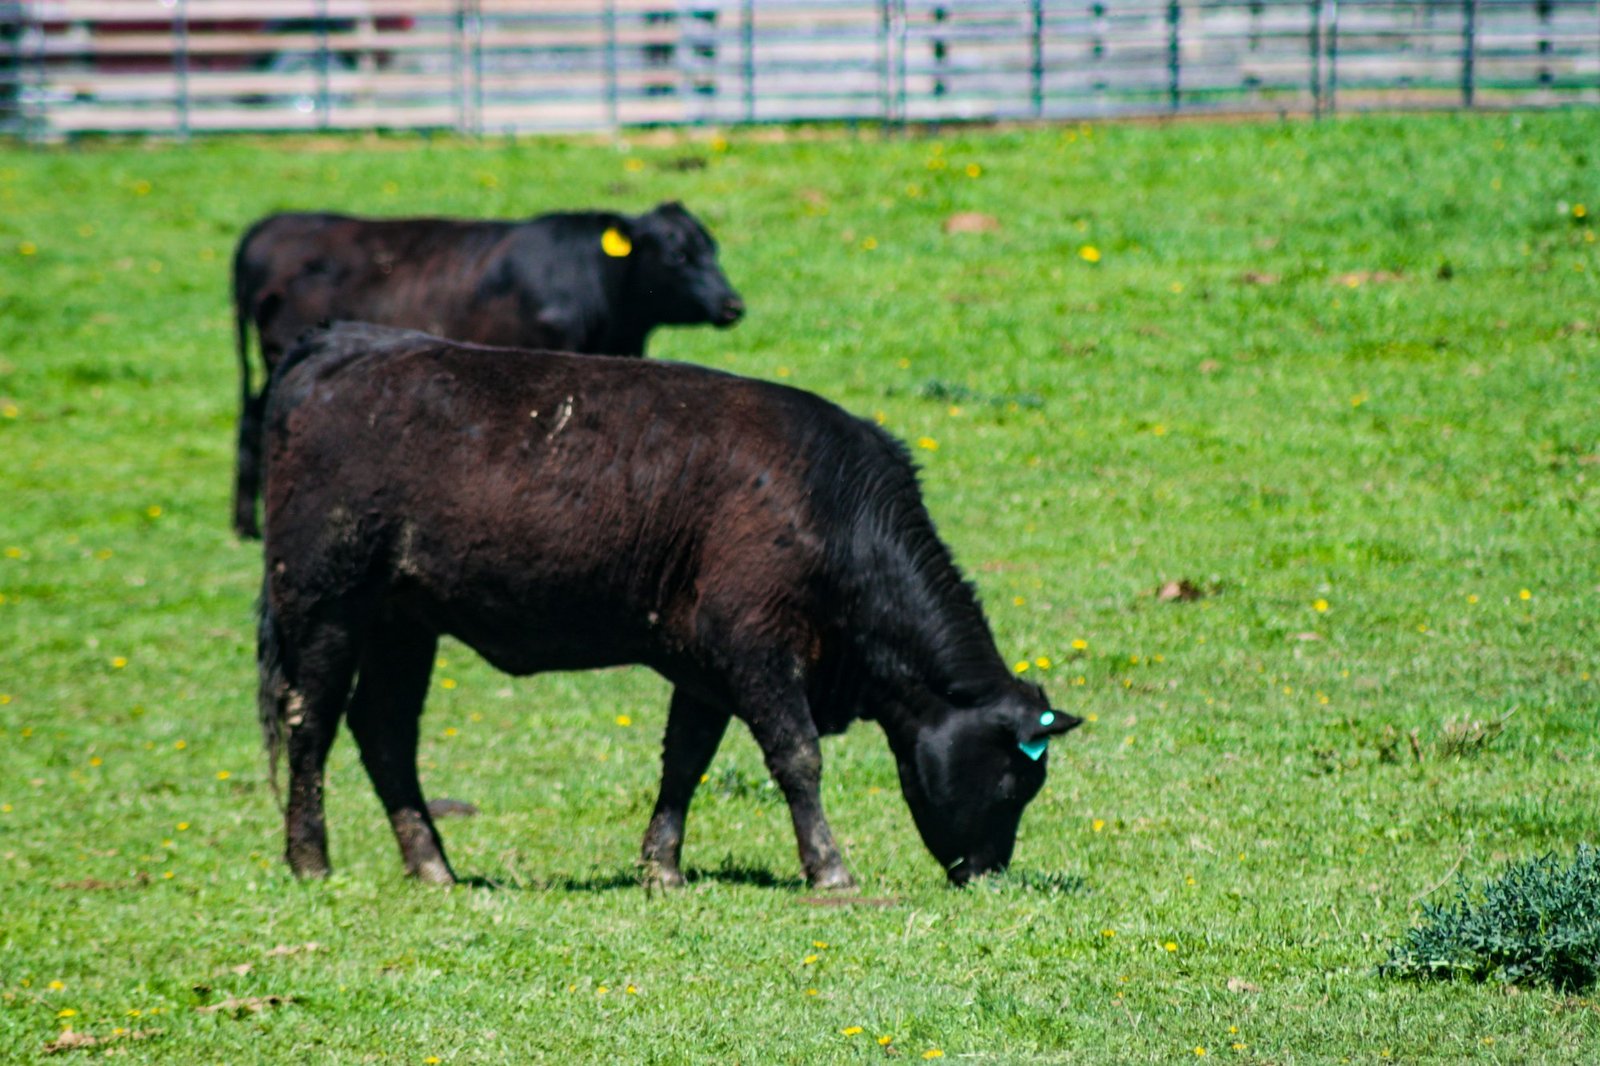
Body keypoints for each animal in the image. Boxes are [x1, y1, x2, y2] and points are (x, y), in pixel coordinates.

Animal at [259, 320, 1088, 883]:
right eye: (1014, 779)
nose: (987, 873)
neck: (829, 505)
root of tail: (349, 344)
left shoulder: (704, 665)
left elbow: (684, 764)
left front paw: (662, 867)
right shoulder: (754, 647)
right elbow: (797, 757)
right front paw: (829, 868)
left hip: (404, 622)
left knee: (384, 731)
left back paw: (434, 865)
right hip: (326, 604)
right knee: (311, 723)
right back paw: (311, 859)